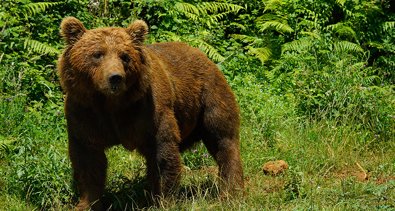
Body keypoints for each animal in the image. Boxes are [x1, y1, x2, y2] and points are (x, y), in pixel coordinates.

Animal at [58, 16, 244, 211]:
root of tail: (203, 55)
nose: (115, 77)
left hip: (209, 96)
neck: (111, 104)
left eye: (124, 56)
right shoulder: (85, 112)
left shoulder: (147, 110)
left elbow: (161, 152)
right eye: (97, 54)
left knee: (223, 139)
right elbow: (88, 159)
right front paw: (86, 203)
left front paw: (162, 198)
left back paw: (231, 192)